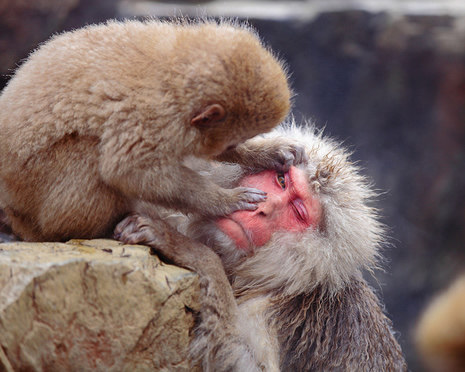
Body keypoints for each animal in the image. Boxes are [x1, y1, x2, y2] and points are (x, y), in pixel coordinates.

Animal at [0, 18, 294, 243]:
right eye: (230, 144)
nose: (233, 147)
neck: (173, 72)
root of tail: (13, 208)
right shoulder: (152, 116)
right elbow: (129, 171)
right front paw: (224, 200)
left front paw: (268, 153)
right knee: (90, 153)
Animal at [116, 123, 406, 370]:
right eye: (281, 180)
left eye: (298, 212)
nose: (262, 209)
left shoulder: (268, 311)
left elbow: (241, 362)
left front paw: (189, 250)